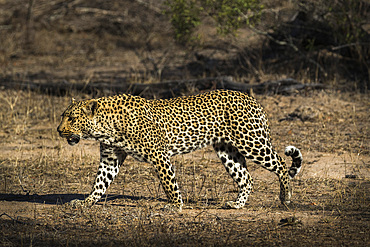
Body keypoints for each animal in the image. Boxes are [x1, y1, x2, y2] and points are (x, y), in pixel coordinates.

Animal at [57, 89, 300, 211]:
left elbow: (169, 184)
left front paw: (176, 206)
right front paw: (86, 202)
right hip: (228, 151)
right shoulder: (110, 158)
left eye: (72, 119)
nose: (59, 130)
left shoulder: (159, 155)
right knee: (246, 178)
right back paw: (237, 205)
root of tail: (252, 98)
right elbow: (99, 184)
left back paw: (285, 198)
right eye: (62, 116)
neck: (105, 127)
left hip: (251, 142)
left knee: (281, 164)